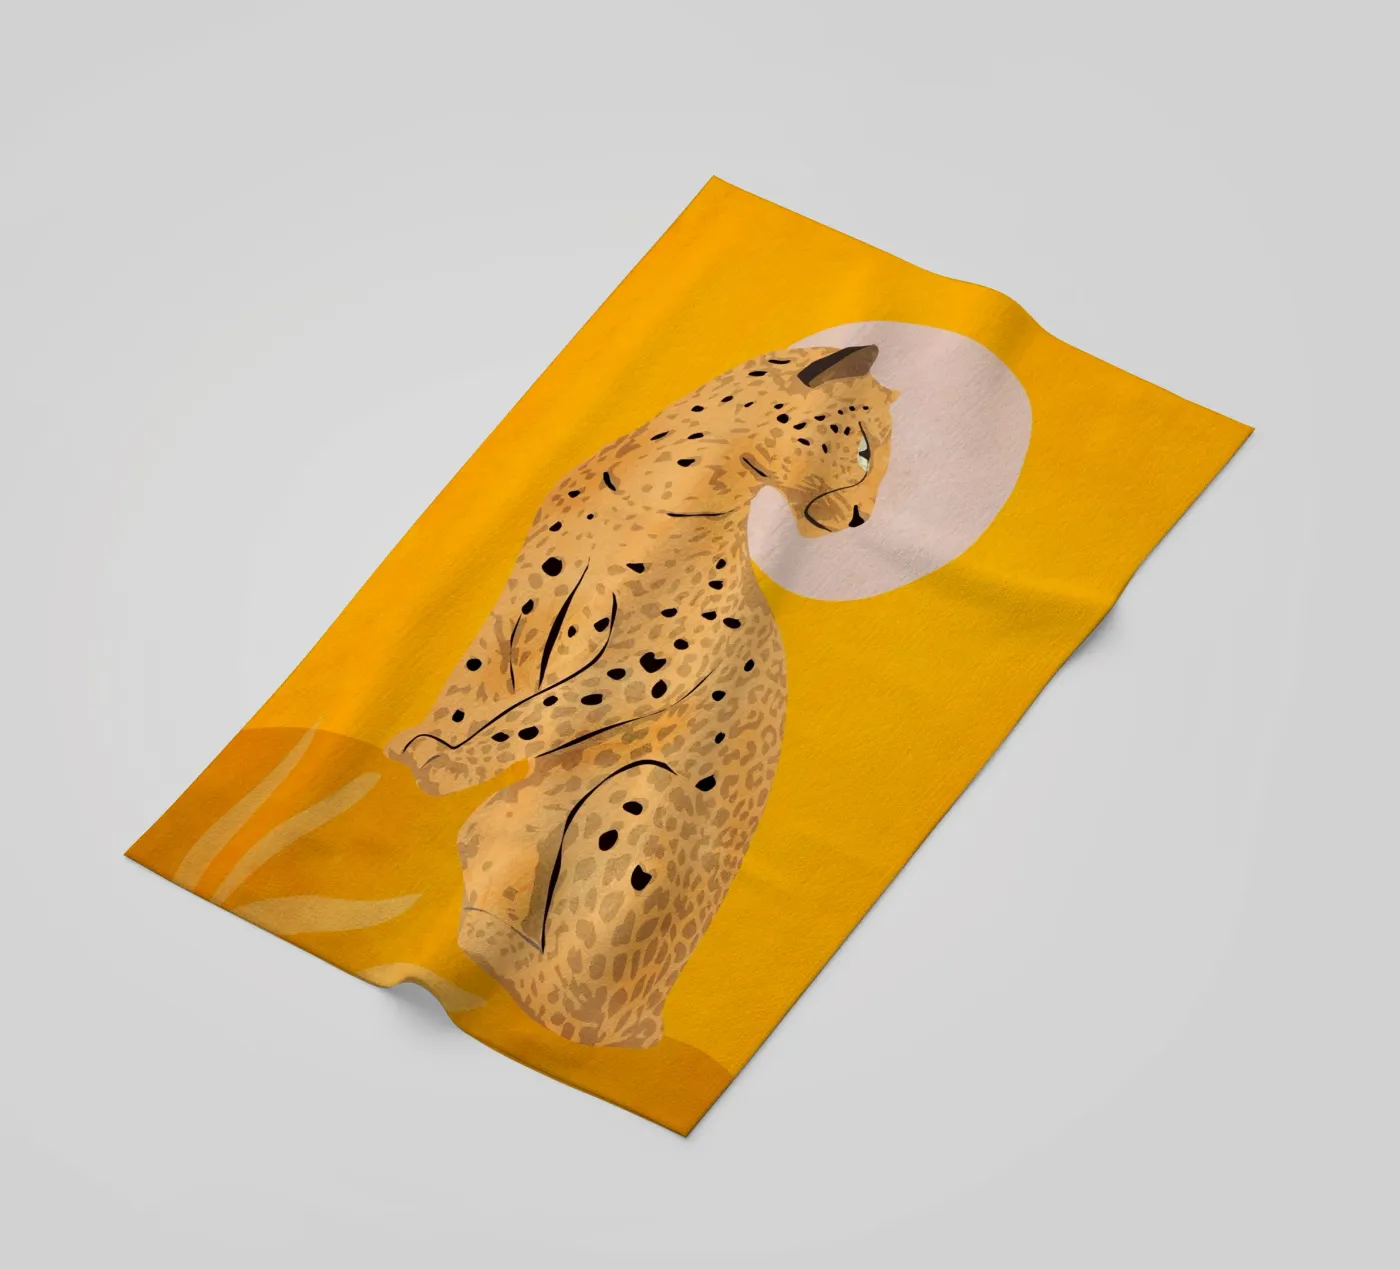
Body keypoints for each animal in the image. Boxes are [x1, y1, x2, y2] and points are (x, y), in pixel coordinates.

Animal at [387, 343, 896, 1046]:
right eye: (865, 450)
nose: (865, 518)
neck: (652, 492)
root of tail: (649, 1019)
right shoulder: (522, 601)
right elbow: (474, 683)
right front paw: (426, 743)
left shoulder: (647, 663)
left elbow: (538, 714)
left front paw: (447, 763)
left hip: (639, 792)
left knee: (568, 1003)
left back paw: (490, 941)